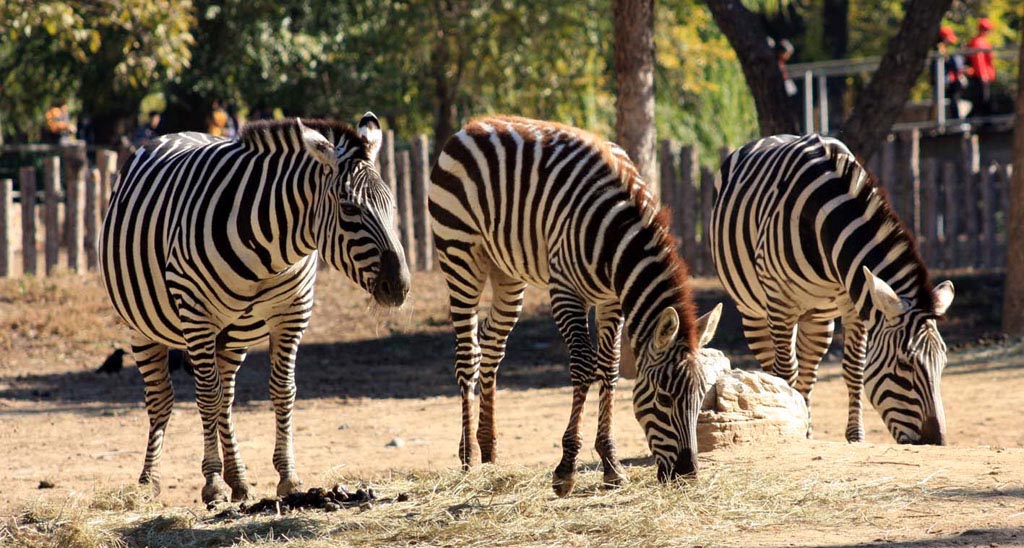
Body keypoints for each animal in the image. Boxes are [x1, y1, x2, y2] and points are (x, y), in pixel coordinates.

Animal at [97, 112, 409, 506]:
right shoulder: (196, 313)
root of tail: (174, 133)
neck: (272, 251)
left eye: (392, 205)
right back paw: (150, 481)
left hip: (234, 333)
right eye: (350, 208)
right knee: (163, 398)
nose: (400, 286)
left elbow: (282, 390)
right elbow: (205, 396)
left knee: (226, 395)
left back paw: (240, 479)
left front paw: (287, 477)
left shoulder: (292, 313)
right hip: (141, 326)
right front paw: (212, 483)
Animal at [428, 115, 724, 497]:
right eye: (663, 398)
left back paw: (489, 451)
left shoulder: (612, 300)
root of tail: (474, 124)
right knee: (468, 354)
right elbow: (584, 366)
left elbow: (609, 368)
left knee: (491, 347)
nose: (688, 476)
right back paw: (467, 459)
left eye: (701, 398)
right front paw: (566, 469)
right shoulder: (566, 292)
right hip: (460, 255)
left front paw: (611, 464)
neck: (617, 239)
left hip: (508, 272)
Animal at [708, 133, 954, 446]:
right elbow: (785, 372)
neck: (824, 220)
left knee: (808, 372)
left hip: (818, 316)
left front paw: (855, 436)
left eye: (943, 362)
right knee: (774, 368)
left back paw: (807, 427)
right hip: (754, 310)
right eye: (904, 364)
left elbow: (854, 369)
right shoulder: (780, 300)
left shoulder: (854, 300)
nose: (937, 442)